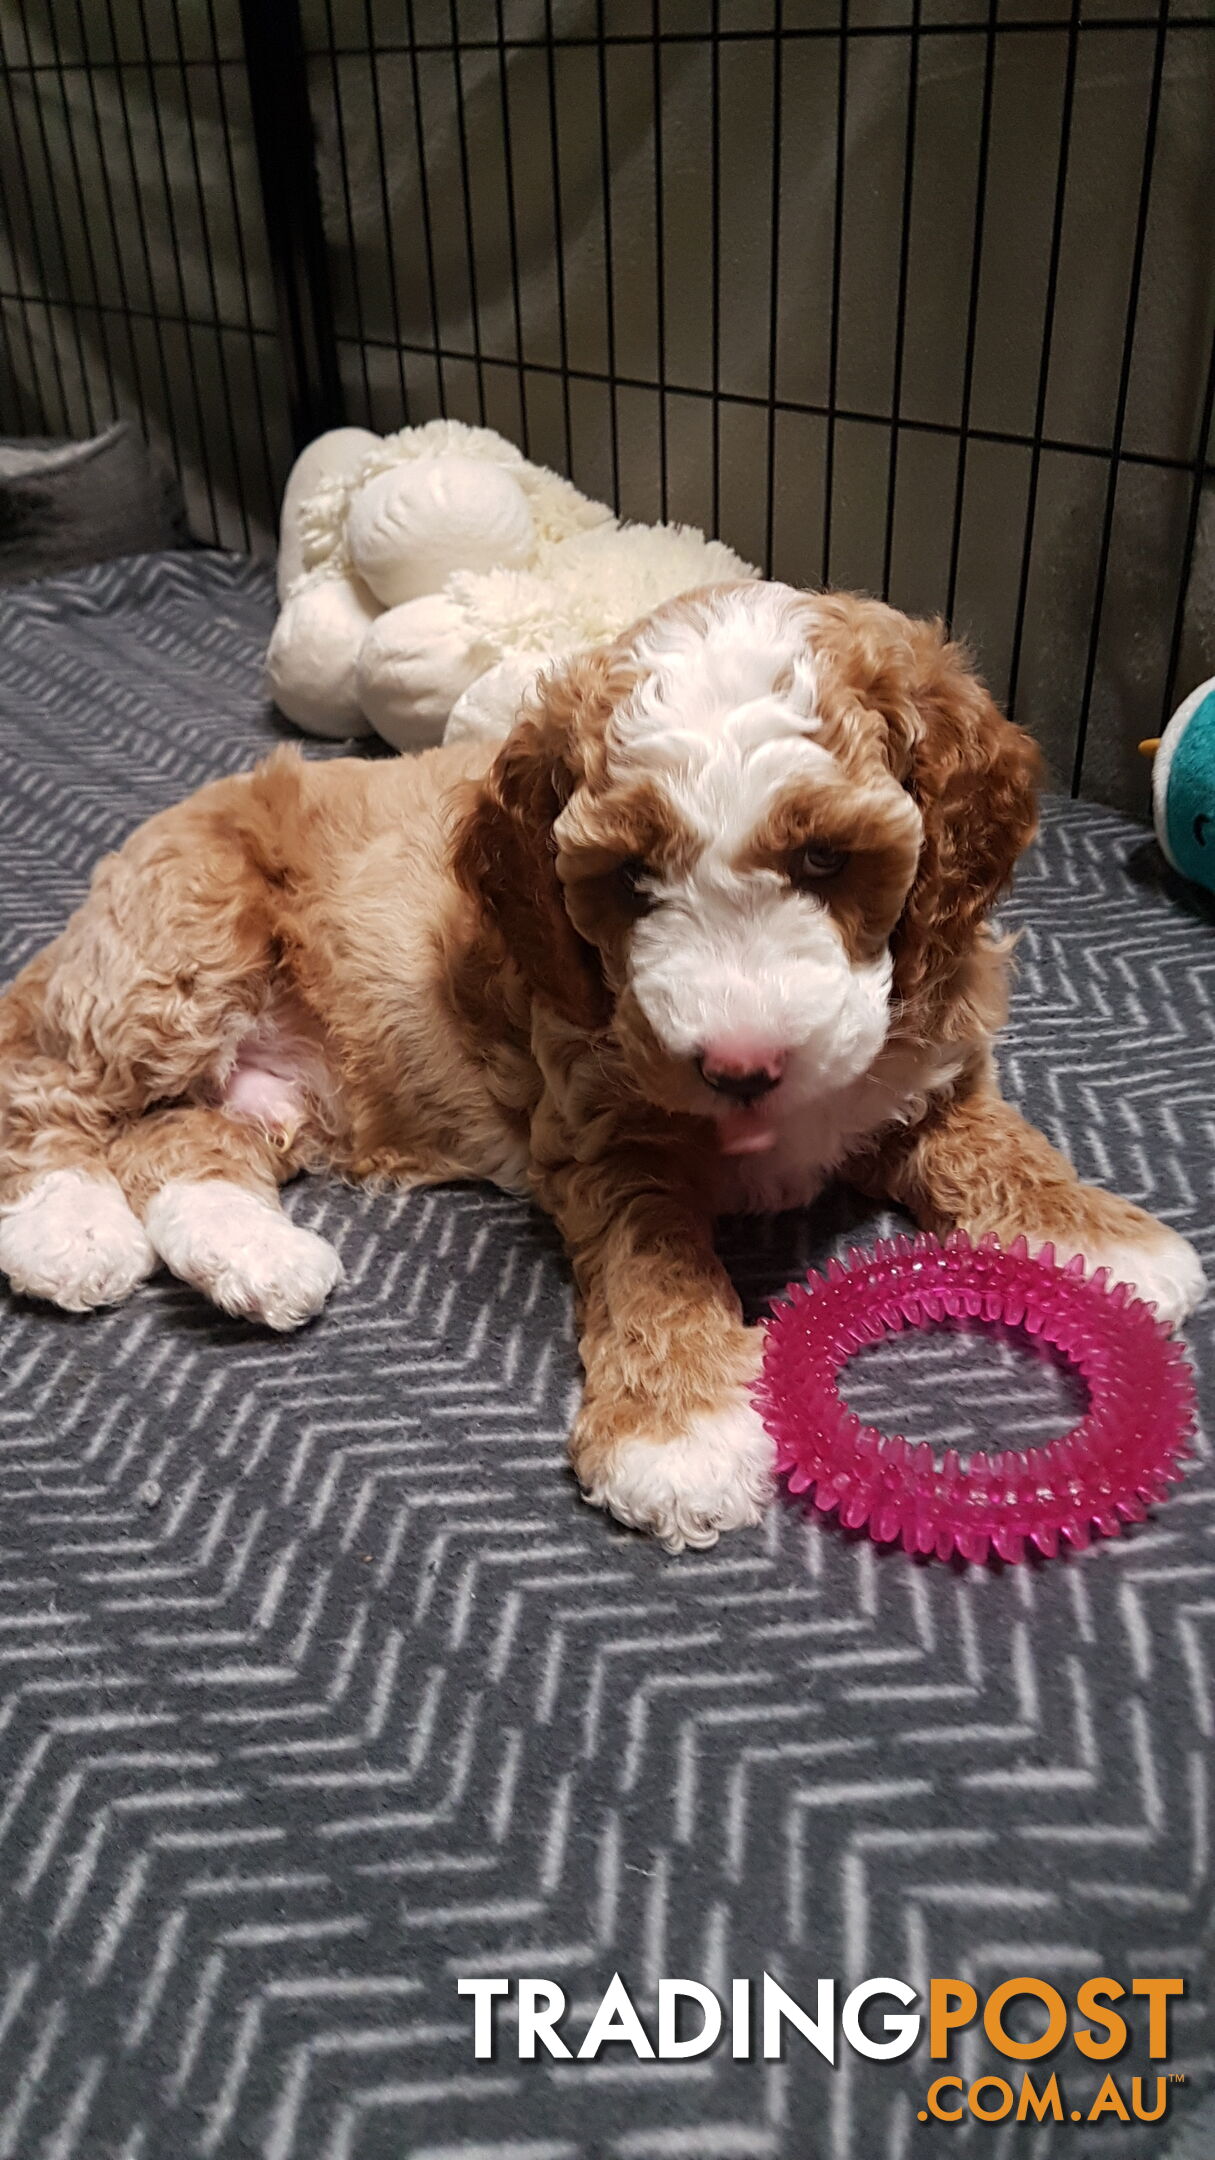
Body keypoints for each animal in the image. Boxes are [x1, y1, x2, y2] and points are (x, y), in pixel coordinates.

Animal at [0, 583, 1193, 1546]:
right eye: (628, 877)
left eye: (823, 859)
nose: (742, 1065)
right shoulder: (606, 1132)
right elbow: (653, 1265)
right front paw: (677, 1432)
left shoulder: (925, 1061)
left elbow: (991, 1137)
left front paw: (1104, 1239)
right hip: (181, 946)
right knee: (43, 1083)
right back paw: (68, 1231)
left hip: (273, 1088)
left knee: (175, 1140)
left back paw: (254, 1257)